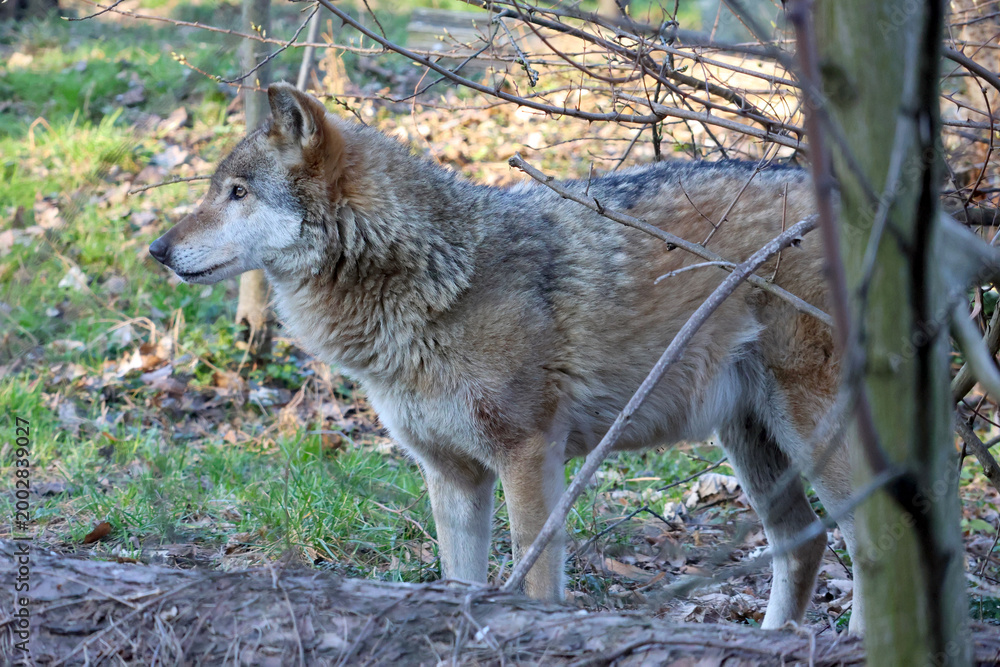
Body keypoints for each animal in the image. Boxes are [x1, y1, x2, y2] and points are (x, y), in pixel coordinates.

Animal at [149, 82, 859, 632]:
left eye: (238, 193)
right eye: (216, 190)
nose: (157, 249)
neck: (439, 280)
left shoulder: (528, 458)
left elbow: (537, 589)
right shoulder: (453, 476)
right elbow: (459, 588)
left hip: (807, 434)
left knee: (867, 541)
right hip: (750, 441)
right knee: (804, 542)